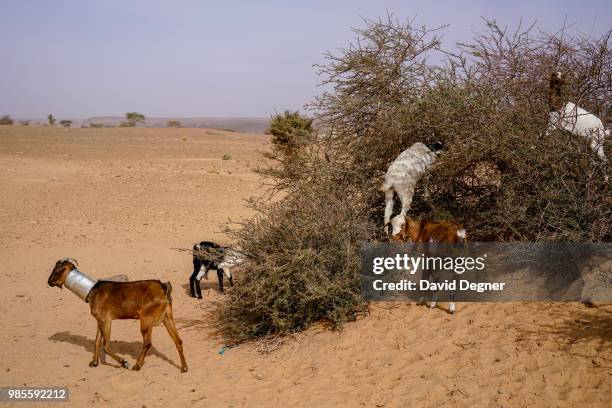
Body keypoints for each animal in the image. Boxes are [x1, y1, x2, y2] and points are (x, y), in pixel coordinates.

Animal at [47, 260, 186, 372]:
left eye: (58, 270)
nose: (49, 282)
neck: (92, 291)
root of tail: (163, 288)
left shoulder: (106, 320)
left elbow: (106, 345)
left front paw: (124, 362)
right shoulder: (99, 321)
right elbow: (97, 341)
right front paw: (94, 362)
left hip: (146, 320)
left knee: (147, 343)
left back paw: (137, 366)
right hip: (167, 317)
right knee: (178, 340)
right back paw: (184, 368)